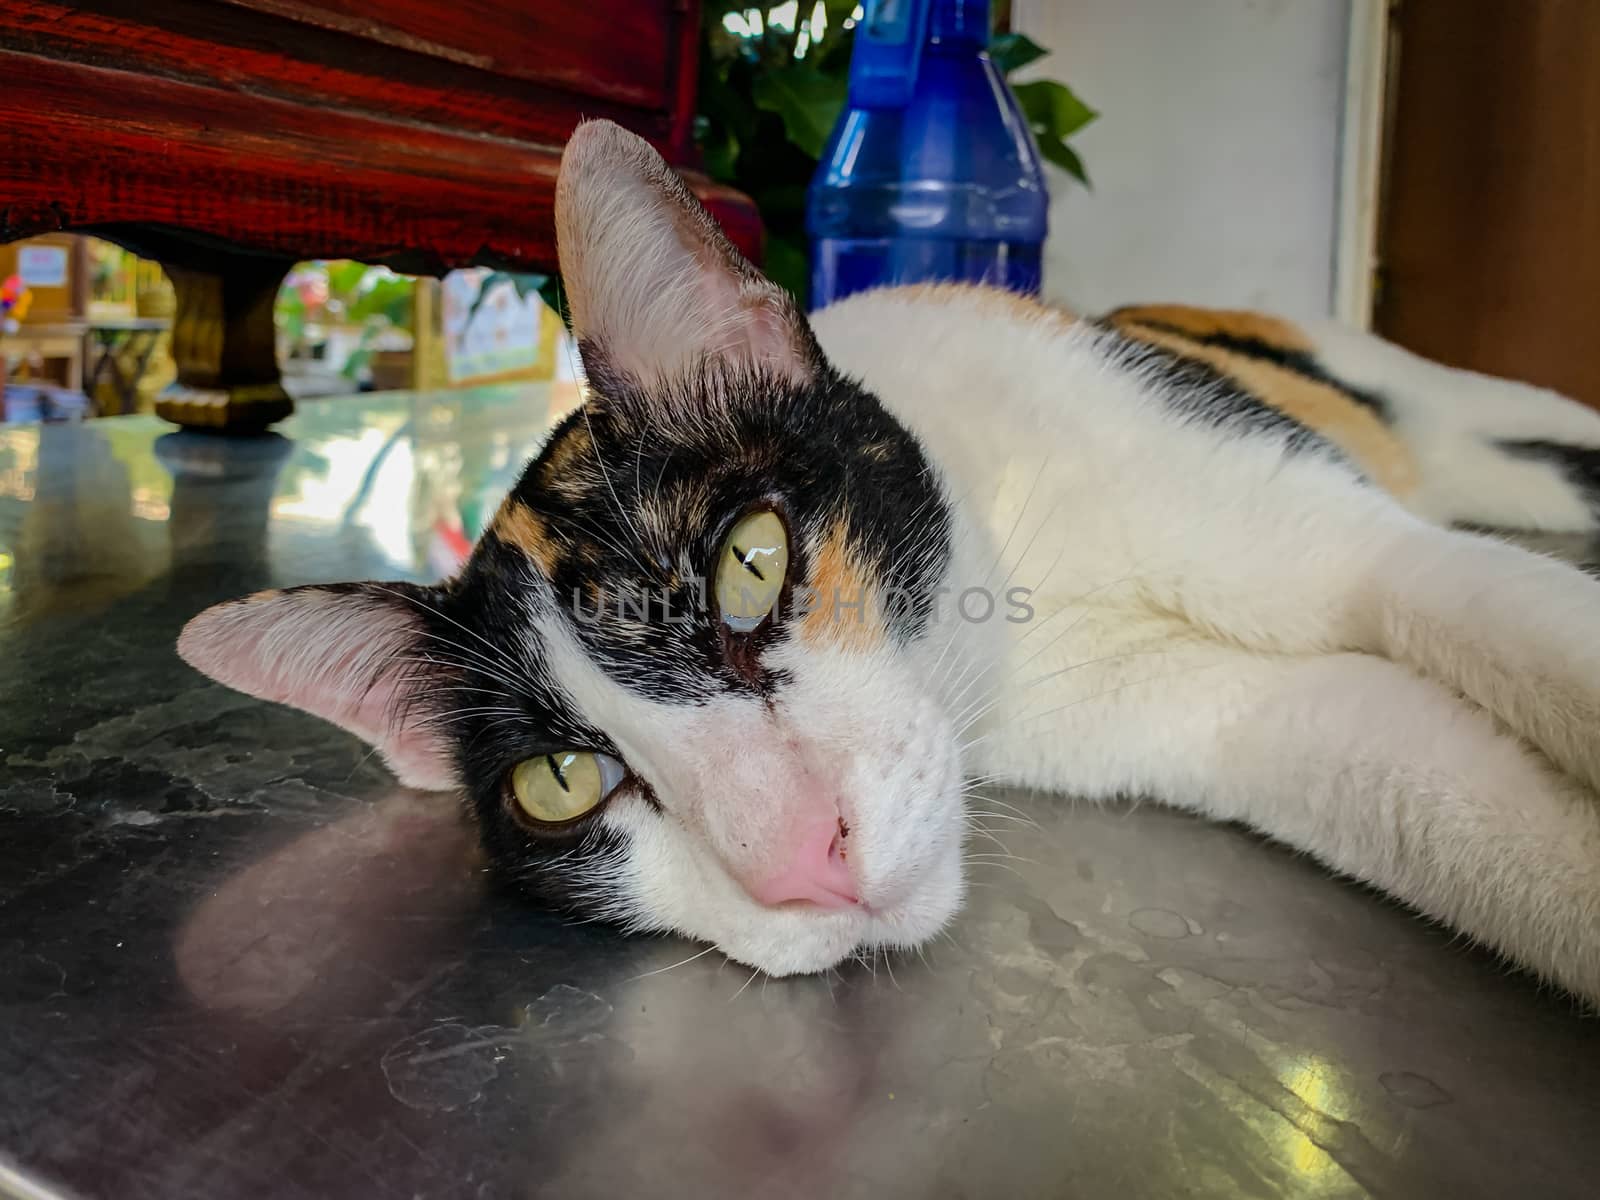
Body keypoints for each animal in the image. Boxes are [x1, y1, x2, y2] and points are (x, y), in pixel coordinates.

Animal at [178, 120, 1600, 1004]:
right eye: (562, 784)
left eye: (750, 564)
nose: (800, 862)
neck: (1023, 585)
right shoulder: (1245, 721)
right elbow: (1450, 801)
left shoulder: (1325, 530)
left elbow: (1496, 616)